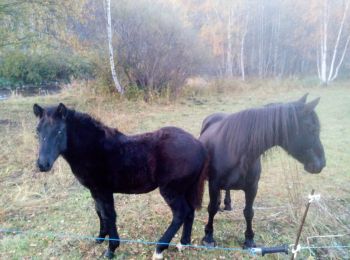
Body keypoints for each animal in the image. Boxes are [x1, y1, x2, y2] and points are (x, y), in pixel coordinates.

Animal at [32, 103, 208, 258]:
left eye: (60, 131)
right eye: (37, 131)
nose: (42, 164)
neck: (93, 148)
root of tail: (198, 144)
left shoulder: (104, 191)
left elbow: (109, 215)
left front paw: (111, 249)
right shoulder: (95, 191)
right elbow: (99, 211)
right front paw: (100, 237)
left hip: (170, 190)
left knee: (180, 213)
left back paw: (159, 249)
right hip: (185, 188)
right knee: (190, 212)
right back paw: (183, 243)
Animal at [200, 95, 326, 248]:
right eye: (312, 129)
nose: (322, 163)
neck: (236, 150)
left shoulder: (252, 187)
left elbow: (249, 212)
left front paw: (249, 239)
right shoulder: (214, 184)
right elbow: (211, 208)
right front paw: (208, 236)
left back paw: (227, 204)